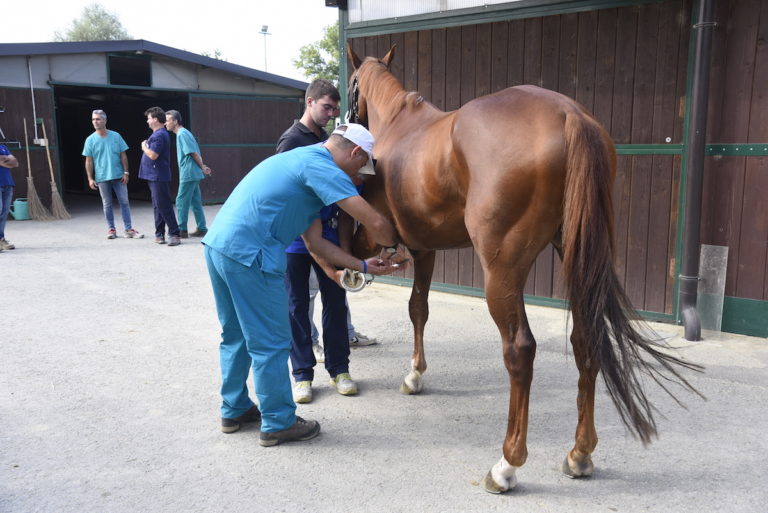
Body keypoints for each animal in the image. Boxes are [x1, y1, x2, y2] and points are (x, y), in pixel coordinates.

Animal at [348, 46, 704, 494]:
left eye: (351, 86)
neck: (400, 124)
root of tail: (569, 114)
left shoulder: (420, 248)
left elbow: (416, 309)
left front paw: (414, 375)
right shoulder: (426, 248)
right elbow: (421, 310)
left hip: (502, 272)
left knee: (520, 349)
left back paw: (507, 464)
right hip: (576, 256)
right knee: (586, 341)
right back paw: (580, 453)